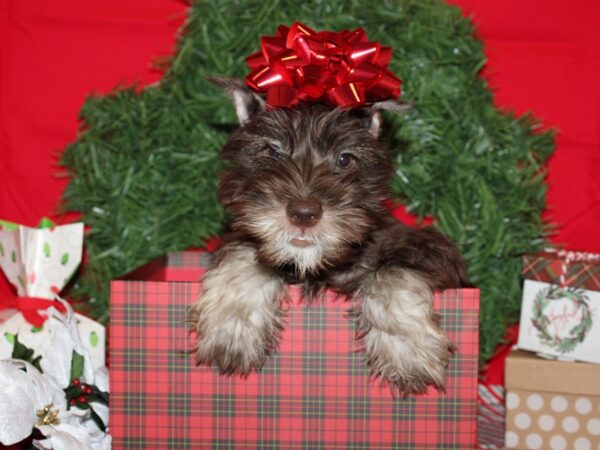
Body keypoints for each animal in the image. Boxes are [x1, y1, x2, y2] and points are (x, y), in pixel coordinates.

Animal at [190, 77, 472, 394]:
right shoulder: (240, 236)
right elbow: (247, 254)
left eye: (345, 159)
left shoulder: (427, 247)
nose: (303, 214)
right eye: (272, 151)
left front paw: (407, 348)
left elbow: (390, 271)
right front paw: (231, 328)